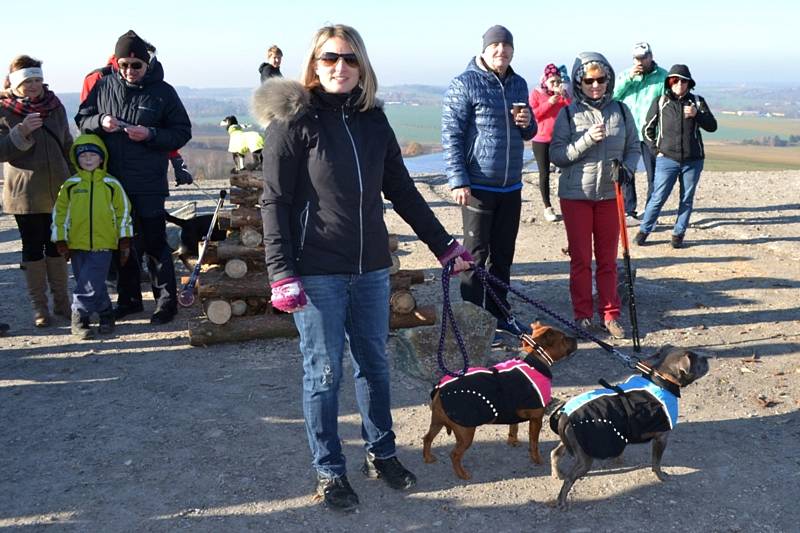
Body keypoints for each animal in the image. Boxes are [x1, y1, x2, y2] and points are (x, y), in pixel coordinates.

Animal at [422, 322, 580, 480]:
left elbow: (514, 428)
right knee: (454, 454)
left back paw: (428, 458)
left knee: (427, 438)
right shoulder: (536, 419)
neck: (534, 360)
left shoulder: (513, 413)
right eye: (564, 338)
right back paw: (462, 474)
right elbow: (534, 443)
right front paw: (537, 459)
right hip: (466, 433)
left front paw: (513, 441)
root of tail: (440, 389)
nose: (576, 338)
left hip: (437, 423)